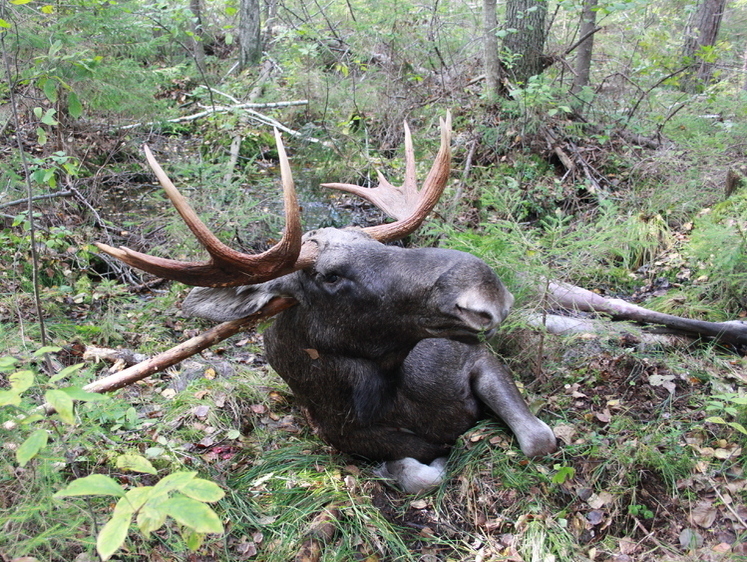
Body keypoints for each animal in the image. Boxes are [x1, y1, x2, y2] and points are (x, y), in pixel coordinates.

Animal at [96, 112, 560, 490]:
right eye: (330, 275)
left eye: (386, 244)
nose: (486, 288)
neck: (402, 400)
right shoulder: (345, 437)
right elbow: (420, 473)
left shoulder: (477, 358)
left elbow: (540, 438)